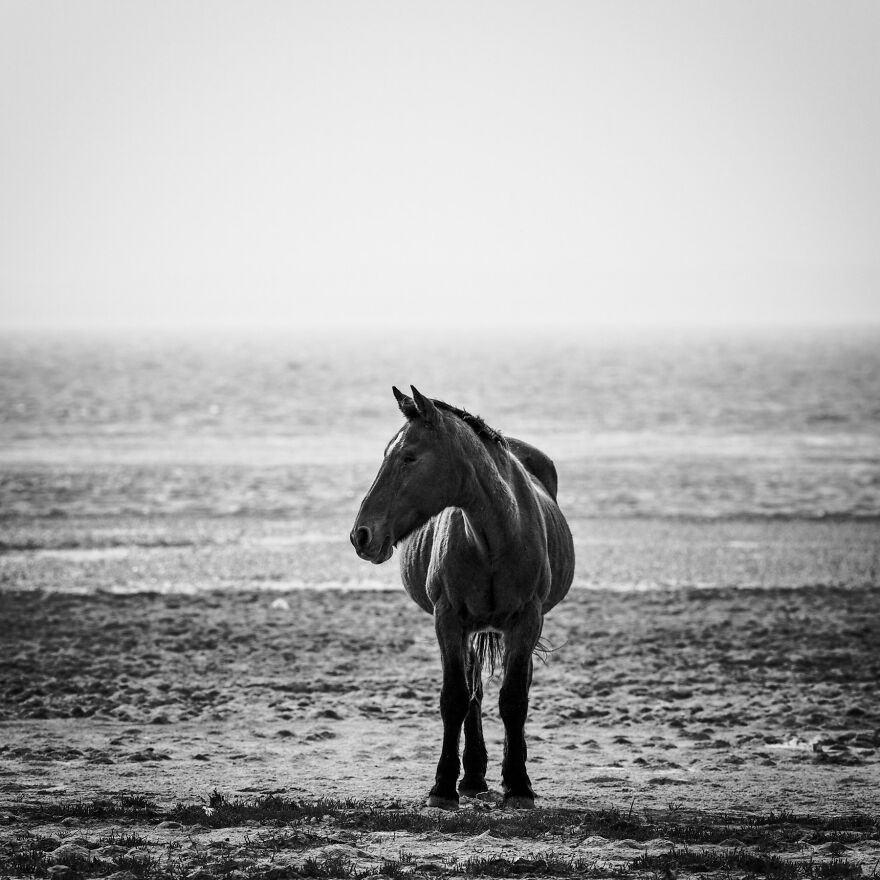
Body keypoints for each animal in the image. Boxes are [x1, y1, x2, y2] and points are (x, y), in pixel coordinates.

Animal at [350, 386, 575, 809]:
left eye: (409, 457)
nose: (361, 535)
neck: (495, 537)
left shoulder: (527, 621)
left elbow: (514, 699)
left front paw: (519, 785)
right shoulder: (450, 621)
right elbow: (455, 697)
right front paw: (443, 786)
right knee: (474, 692)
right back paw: (472, 777)